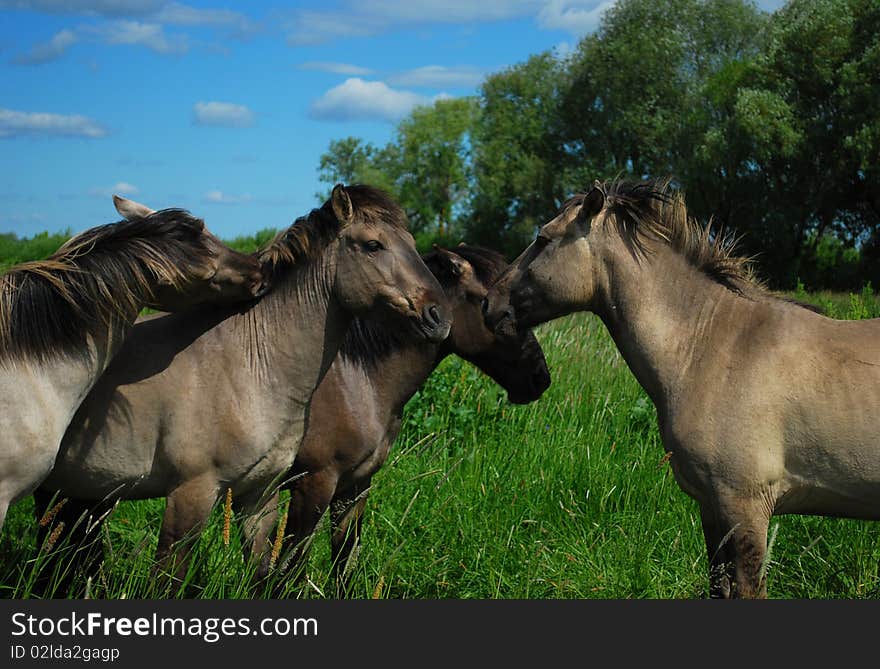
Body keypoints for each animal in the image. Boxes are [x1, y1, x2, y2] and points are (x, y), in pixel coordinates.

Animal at [35, 183, 450, 584]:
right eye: (373, 245)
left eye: (413, 244)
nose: (439, 316)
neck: (252, 364)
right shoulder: (191, 495)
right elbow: (167, 580)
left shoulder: (260, 496)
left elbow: (263, 574)